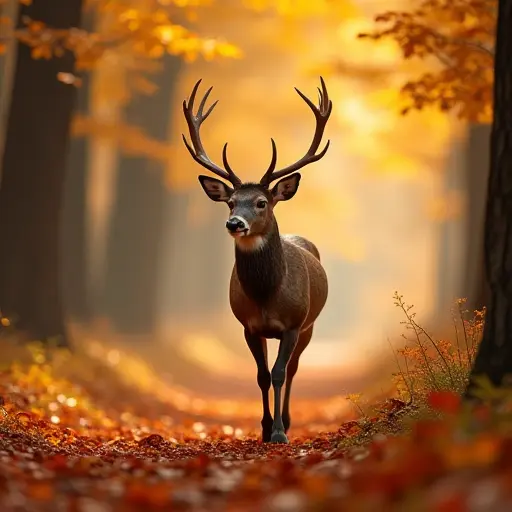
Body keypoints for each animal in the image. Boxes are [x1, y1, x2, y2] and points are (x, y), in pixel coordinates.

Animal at [183, 76, 332, 444]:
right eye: (231, 202)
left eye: (262, 202)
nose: (235, 223)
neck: (267, 295)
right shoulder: (249, 326)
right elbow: (262, 376)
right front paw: (264, 428)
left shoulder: (293, 323)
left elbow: (279, 373)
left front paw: (279, 431)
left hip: (310, 325)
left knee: (293, 369)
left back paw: (288, 421)